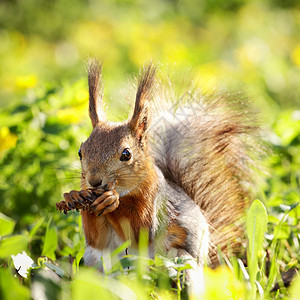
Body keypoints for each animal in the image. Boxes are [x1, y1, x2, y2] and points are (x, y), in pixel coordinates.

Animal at [61, 59, 260, 282]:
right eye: (80, 151)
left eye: (126, 154)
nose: (94, 181)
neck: (125, 191)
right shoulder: (97, 242)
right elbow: (96, 238)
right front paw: (72, 195)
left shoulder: (155, 198)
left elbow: (140, 229)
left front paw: (111, 201)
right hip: (95, 266)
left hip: (182, 261)